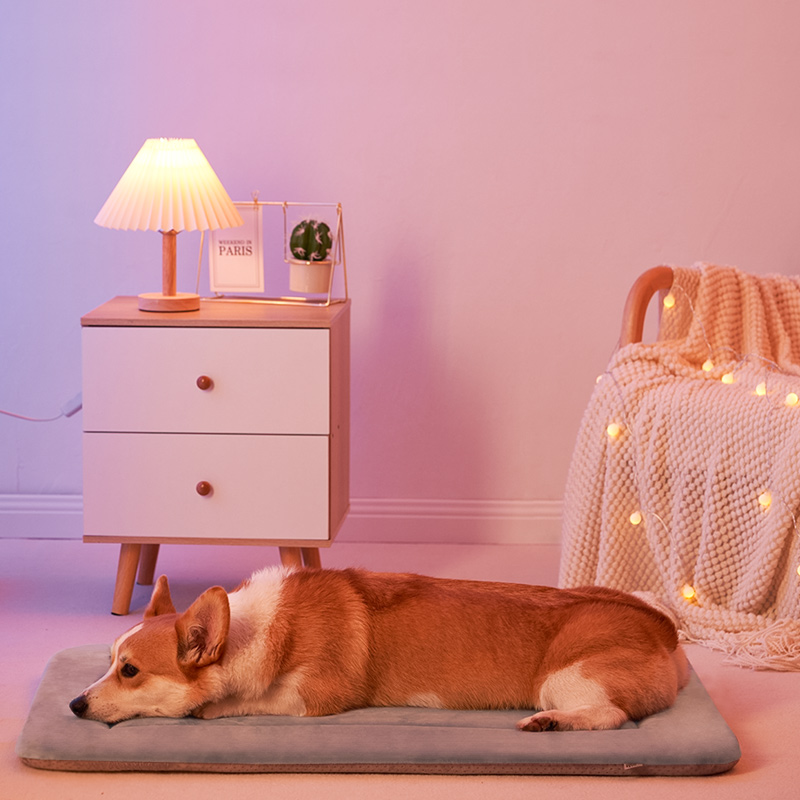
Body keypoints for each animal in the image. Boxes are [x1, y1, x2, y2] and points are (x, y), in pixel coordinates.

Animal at [69, 567, 689, 730]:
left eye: (130, 671)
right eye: (108, 662)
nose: (73, 704)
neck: (250, 632)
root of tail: (665, 628)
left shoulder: (316, 694)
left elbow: (246, 701)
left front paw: (210, 708)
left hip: (560, 678)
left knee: (611, 714)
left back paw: (552, 723)